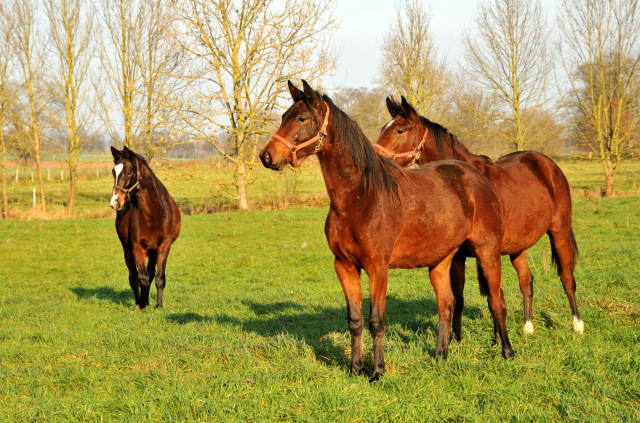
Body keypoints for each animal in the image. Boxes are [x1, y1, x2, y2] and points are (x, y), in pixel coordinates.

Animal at [109, 147, 180, 310]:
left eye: (129, 171)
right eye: (113, 171)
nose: (115, 202)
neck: (153, 213)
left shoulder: (164, 247)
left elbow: (159, 277)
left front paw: (158, 305)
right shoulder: (137, 247)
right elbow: (142, 278)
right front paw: (141, 305)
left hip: (153, 251)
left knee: (151, 273)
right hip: (127, 249)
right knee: (133, 277)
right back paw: (140, 302)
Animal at [258, 81, 512, 382]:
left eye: (301, 118)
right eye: (284, 115)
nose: (267, 156)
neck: (360, 197)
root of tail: (478, 178)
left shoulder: (378, 267)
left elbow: (376, 321)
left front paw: (377, 371)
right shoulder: (344, 266)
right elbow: (355, 321)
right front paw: (355, 368)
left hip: (487, 252)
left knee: (497, 300)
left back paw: (507, 352)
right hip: (442, 260)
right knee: (446, 305)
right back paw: (440, 356)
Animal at [376, 96, 584, 338]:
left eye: (399, 130)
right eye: (383, 128)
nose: (376, 157)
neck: (461, 184)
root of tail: (549, 165)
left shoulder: (486, 251)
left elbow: (492, 294)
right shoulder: (458, 255)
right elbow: (460, 297)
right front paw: (458, 338)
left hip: (559, 231)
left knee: (567, 276)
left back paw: (577, 324)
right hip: (518, 246)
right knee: (526, 281)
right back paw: (528, 327)